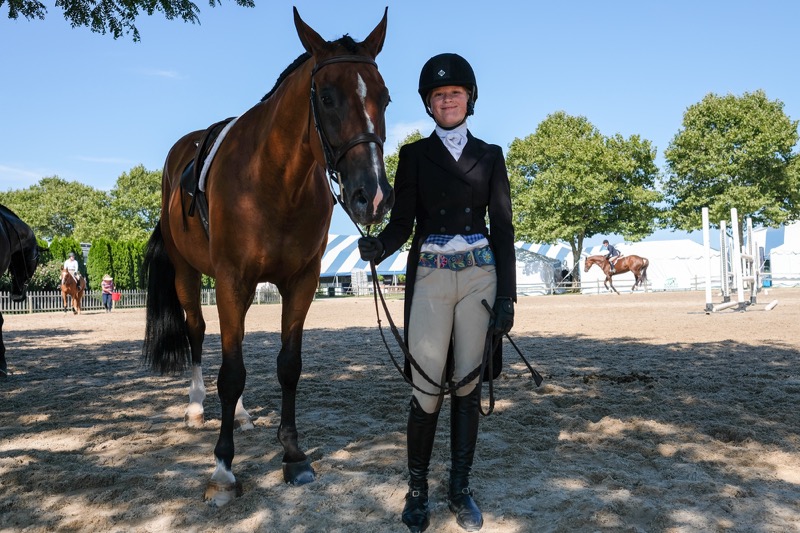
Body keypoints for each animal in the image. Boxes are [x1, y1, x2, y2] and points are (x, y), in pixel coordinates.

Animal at [144, 9, 396, 508]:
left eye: (385, 97)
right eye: (326, 96)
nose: (373, 196)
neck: (277, 181)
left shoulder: (302, 282)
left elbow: (287, 366)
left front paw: (293, 455)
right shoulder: (230, 279)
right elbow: (230, 372)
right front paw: (223, 469)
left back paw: (240, 416)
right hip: (188, 274)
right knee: (199, 333)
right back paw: (196, 408)